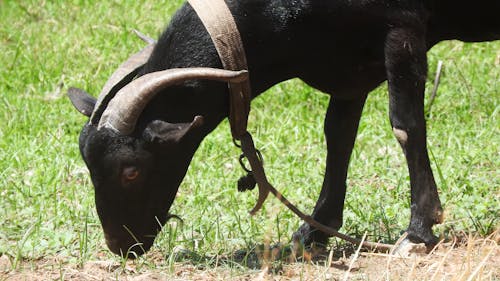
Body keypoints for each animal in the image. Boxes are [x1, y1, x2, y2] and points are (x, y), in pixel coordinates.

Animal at [68, 0, 498, 258]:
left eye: (131, 170)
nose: (120, 245)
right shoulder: (348, 63)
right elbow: (337, 134)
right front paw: (315, 230)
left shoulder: (402, 30)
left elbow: (405, 126)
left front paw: (419, 231)